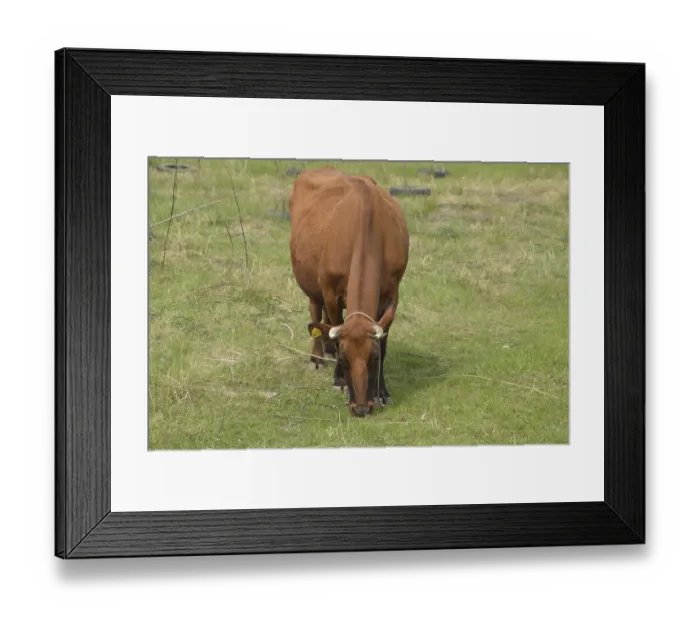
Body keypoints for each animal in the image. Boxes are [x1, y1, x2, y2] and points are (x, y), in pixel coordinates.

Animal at [289, 167, 410, 417]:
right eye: (344, 360)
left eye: (373, 358)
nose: (361, 408)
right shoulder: (330, 290)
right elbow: (335, 326)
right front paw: (339, 381)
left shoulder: (392, 295)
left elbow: (384, 343)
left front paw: (382, 392)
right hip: (313, 286)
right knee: (316, 312)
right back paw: (317, 357)